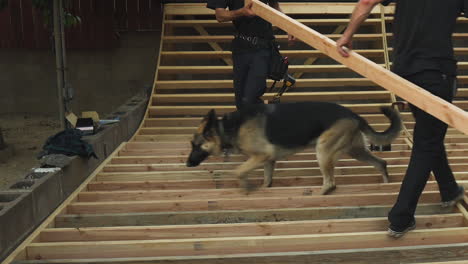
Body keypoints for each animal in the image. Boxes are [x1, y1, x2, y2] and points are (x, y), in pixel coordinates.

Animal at [186, 102, 402, 195]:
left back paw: (319, 193)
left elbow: (238, 171)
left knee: (331, 183)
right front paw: (263, 189)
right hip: (355, 151)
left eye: (196, 145)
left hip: (323, 150)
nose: (187, 164)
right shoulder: (268, 160)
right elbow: (267, 180)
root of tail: (355, 115)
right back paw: (385, 184)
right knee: (381, 163)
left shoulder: (263, 155)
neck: (227, 128)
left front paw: (246, 186)